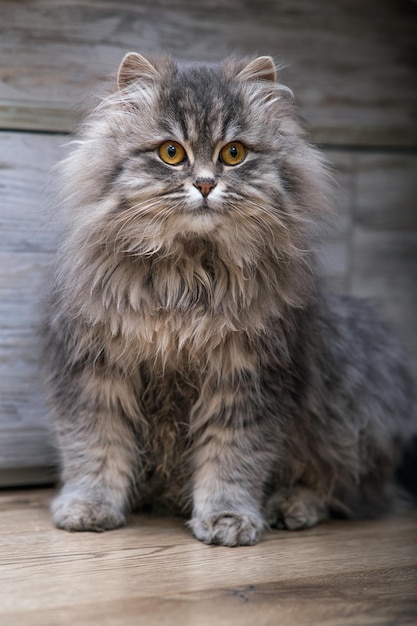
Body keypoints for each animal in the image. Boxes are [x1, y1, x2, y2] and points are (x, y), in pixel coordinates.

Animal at [43, 51, 416, 544]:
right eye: (171, 153)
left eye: (233, 154)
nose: (204, 184)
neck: (187, 277)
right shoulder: (96, 371)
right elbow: (95, 449)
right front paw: (89, 508)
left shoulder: (247, 378)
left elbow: (233, 459)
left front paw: (228, 519)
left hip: (347, 410)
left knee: (342, 489)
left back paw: (291, 506)